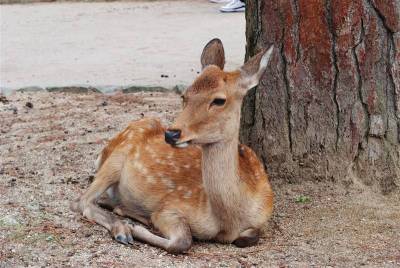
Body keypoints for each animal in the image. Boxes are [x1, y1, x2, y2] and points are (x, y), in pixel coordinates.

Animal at [70, 38, 274, 253]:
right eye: (184, 95)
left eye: (219, 100)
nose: (171, 133)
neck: (230, 218)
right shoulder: (170, 206)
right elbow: (182, 241)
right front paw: (135, 228)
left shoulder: (262, 219)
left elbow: (249, 237)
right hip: (116, 158)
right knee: (81, 201)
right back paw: (123, 229)